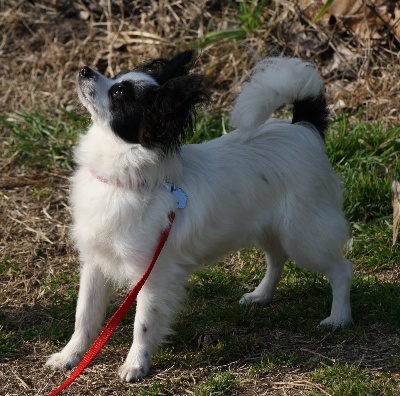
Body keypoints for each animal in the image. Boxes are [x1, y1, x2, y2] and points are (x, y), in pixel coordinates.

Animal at [46, 50, 354, 380]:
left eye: (118, 94)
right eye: (113, 78)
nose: (84, 70)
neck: (125, 179)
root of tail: (303, 128)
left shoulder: (153, 275)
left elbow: (142, 324)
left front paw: (136, 364)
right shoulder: (94, 263)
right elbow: (84, 317)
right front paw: (70, 356)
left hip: (303, 237)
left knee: (341, 269)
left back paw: (338, 318)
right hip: (267, 228)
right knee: (277, 258)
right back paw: (261, 296)